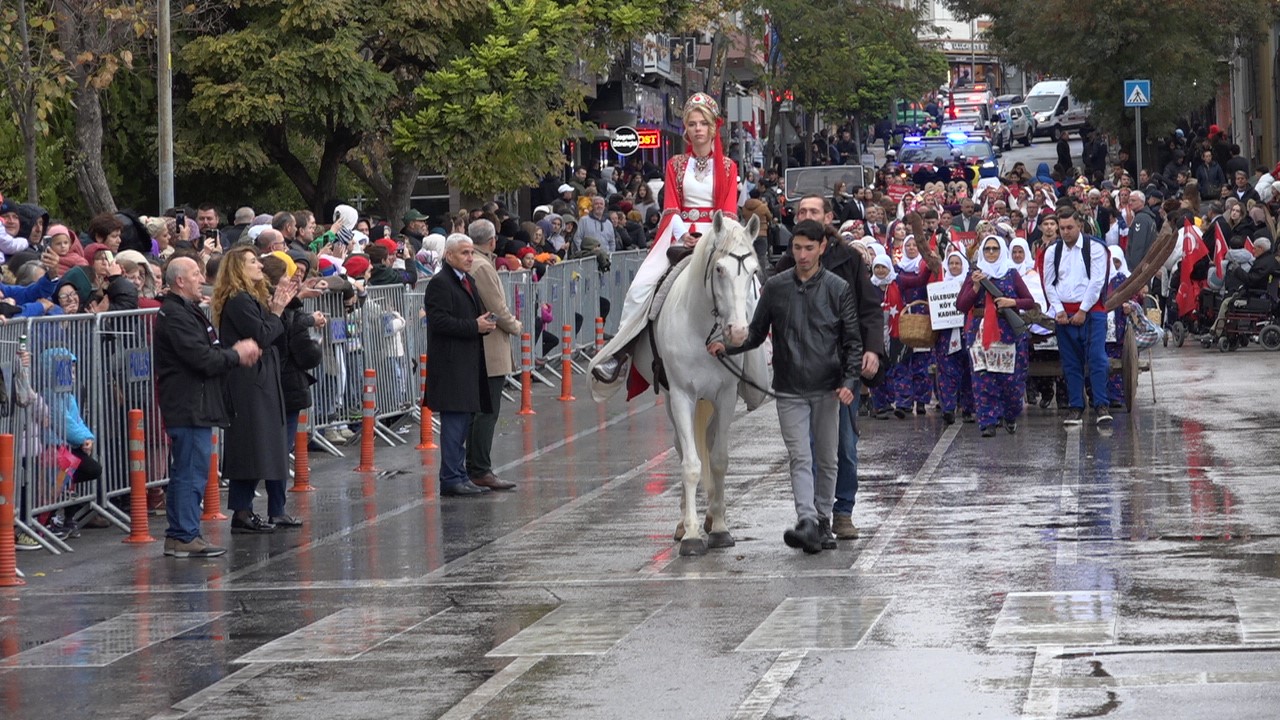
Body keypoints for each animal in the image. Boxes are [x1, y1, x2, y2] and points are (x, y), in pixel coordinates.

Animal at [632, 210, 768, 550]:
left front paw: (718, 526)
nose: (738, 332)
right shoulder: (682, 394)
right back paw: (684, 523)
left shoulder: (726, 394)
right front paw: (692, 534)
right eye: (719, 269)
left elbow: (718, 458)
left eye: (753, 272)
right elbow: (691, 464)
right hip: (672, 399)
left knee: (706, 440)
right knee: (683, 448)